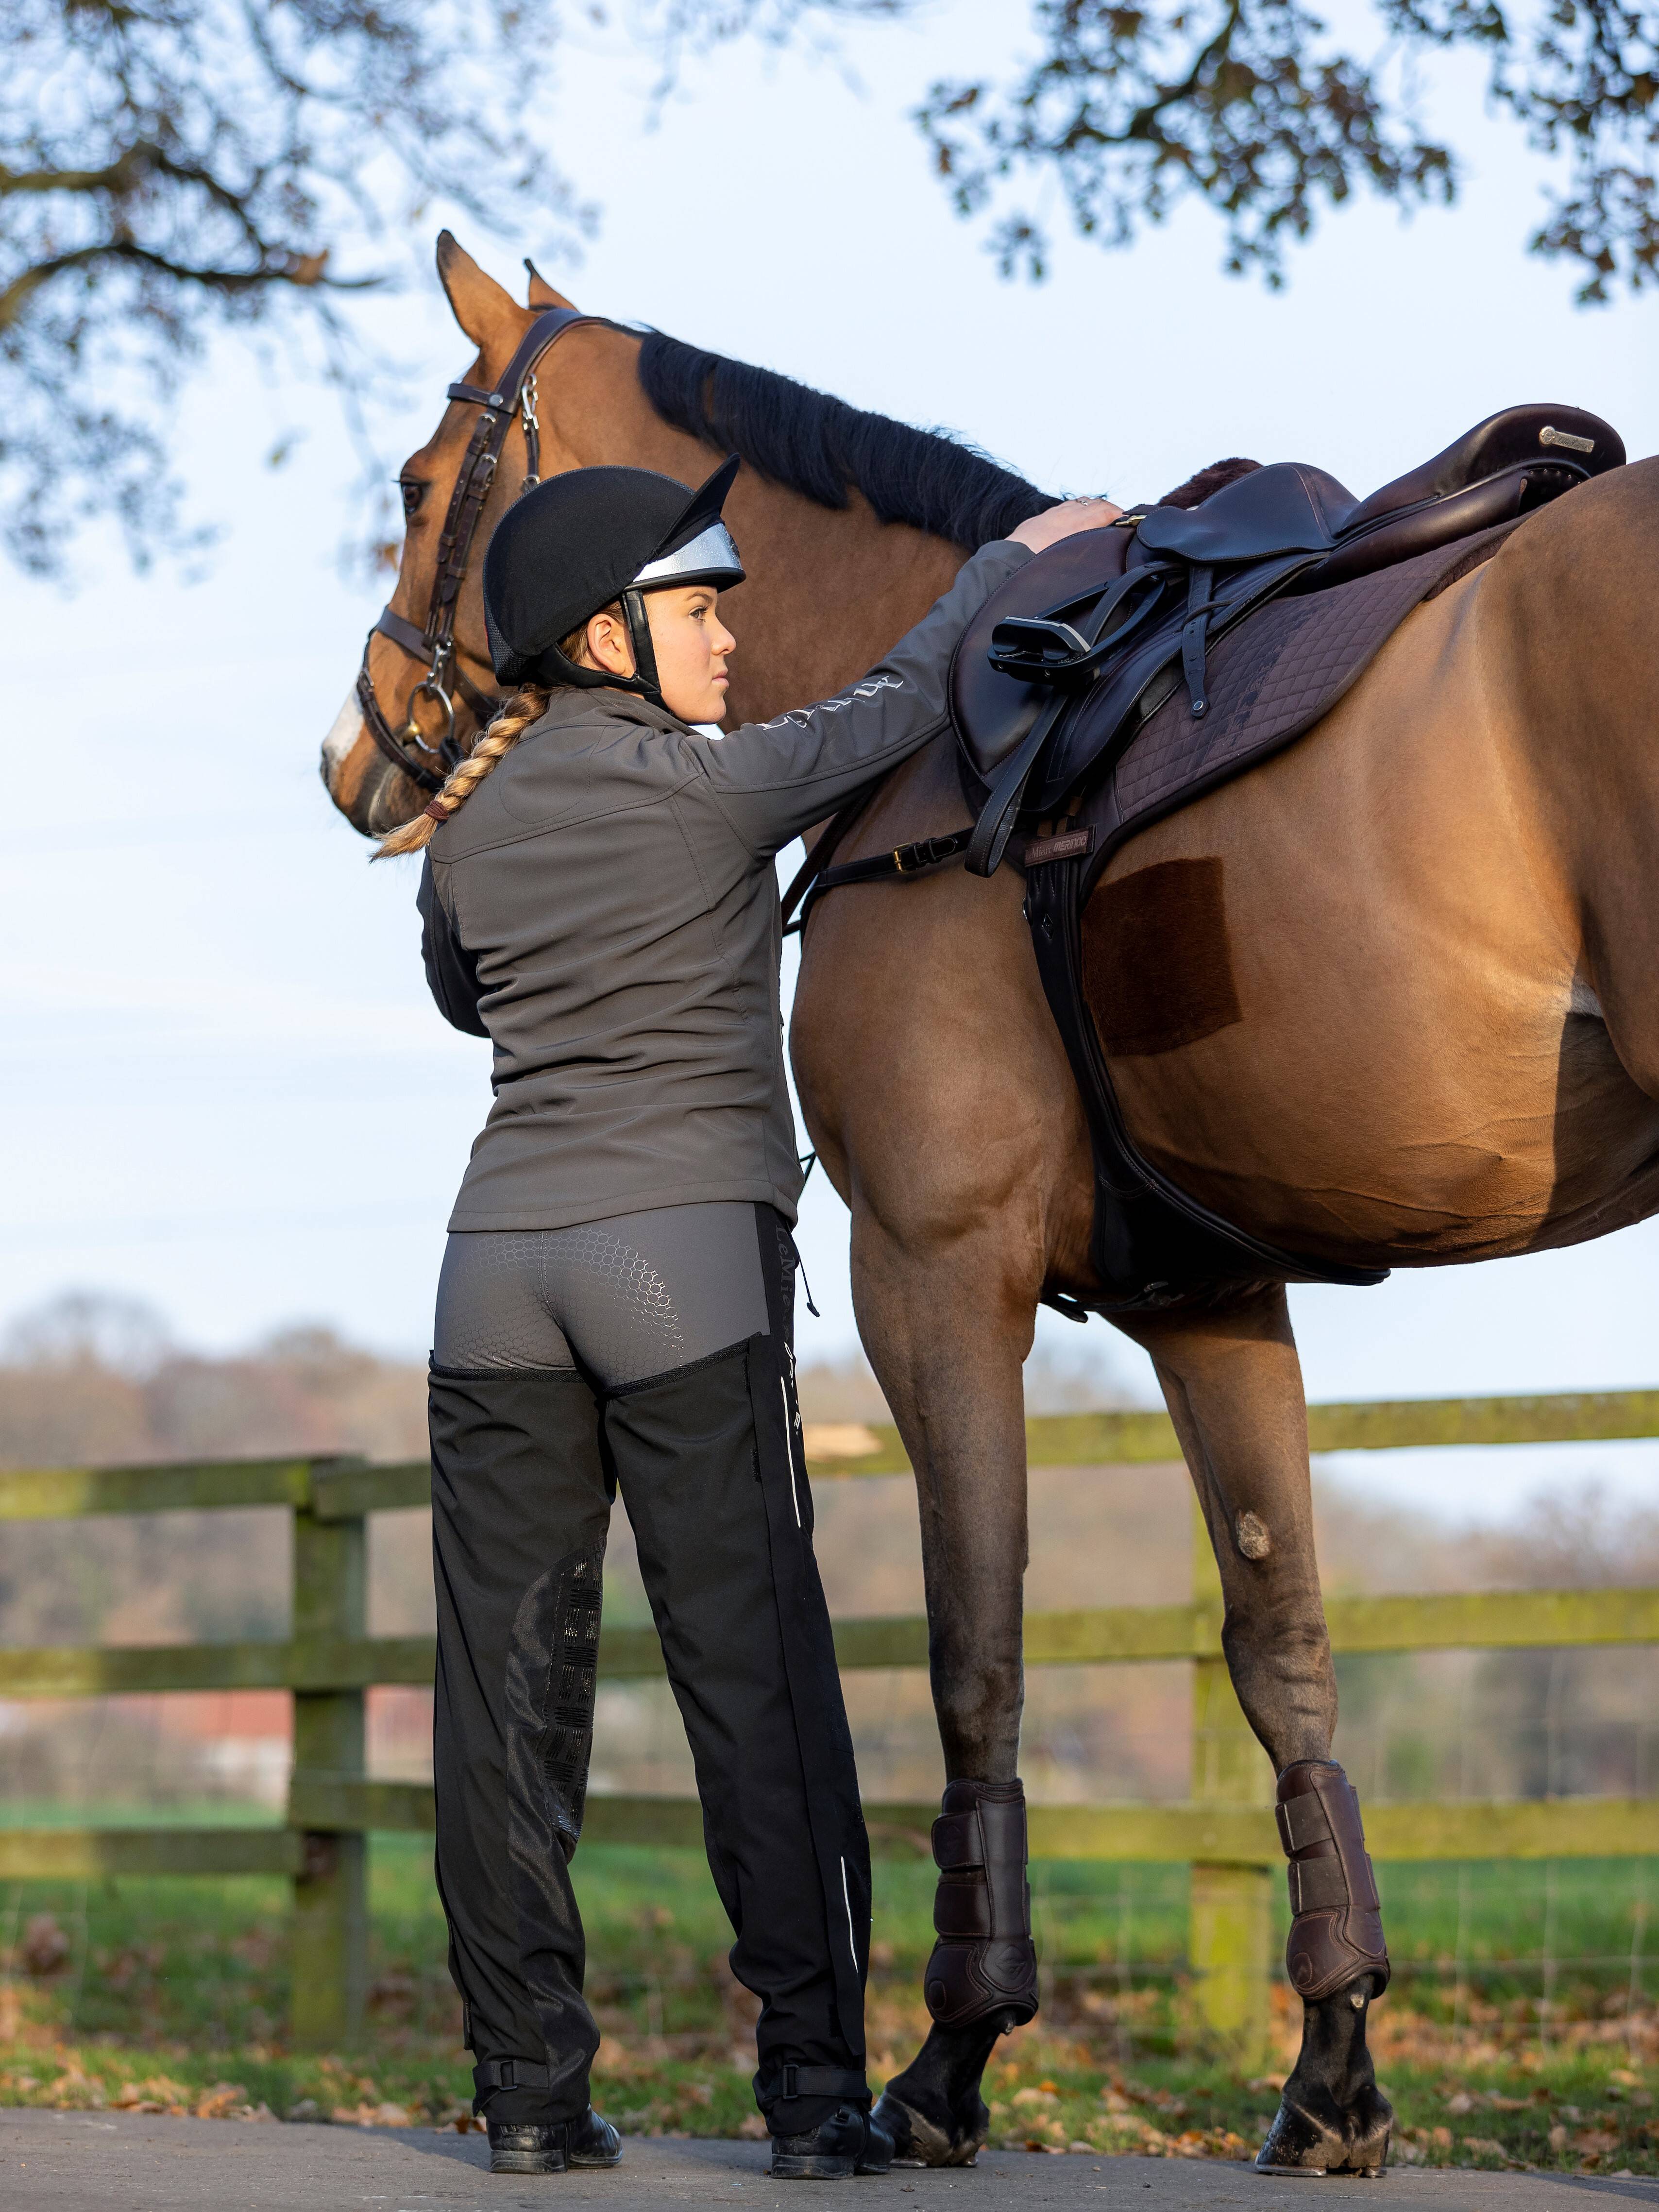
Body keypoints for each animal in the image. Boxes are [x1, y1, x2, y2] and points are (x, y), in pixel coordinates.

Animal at [321, 233, 1659, 2167]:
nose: (357, 754)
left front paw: (947, 2061)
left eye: (422, 486)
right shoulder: (1206, 1296)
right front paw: (1330, 2069)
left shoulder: (931, 1276)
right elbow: (1282, 1653)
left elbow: (973, 1654)